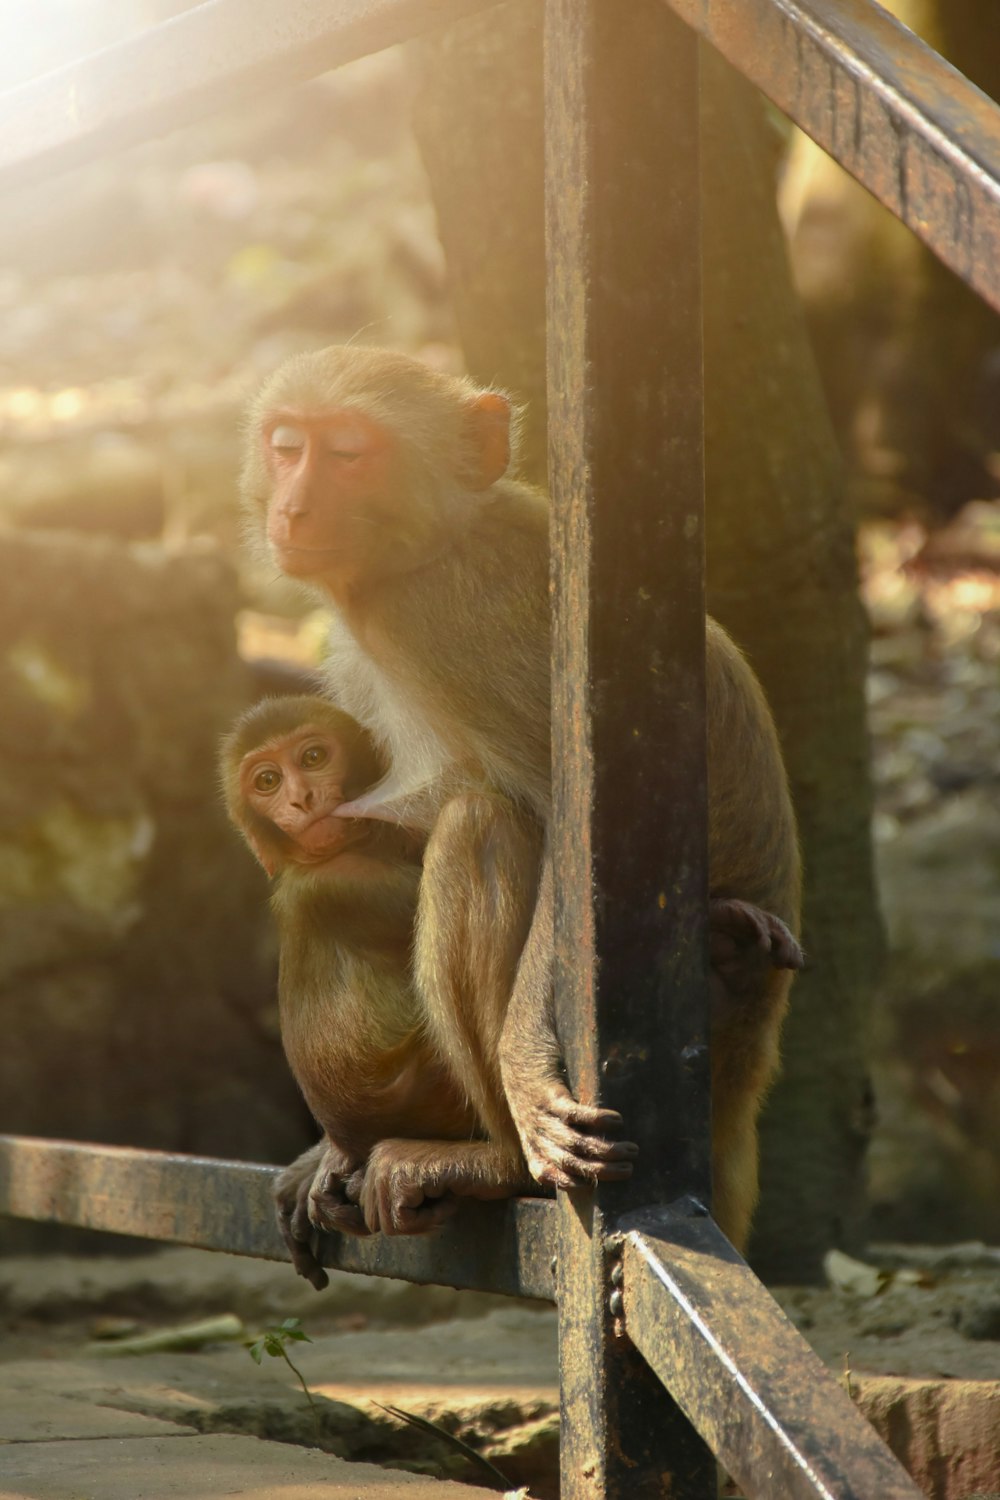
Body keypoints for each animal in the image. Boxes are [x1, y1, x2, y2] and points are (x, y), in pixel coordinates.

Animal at [244, 345, 803, 1248]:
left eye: (350, 453)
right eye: (288, 446)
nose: (293, 508)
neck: (427, 548)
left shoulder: (447, 626)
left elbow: (560, 833)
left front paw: (524, 1074)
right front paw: (317, 1158)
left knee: (476, 828)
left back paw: (496, 1162)